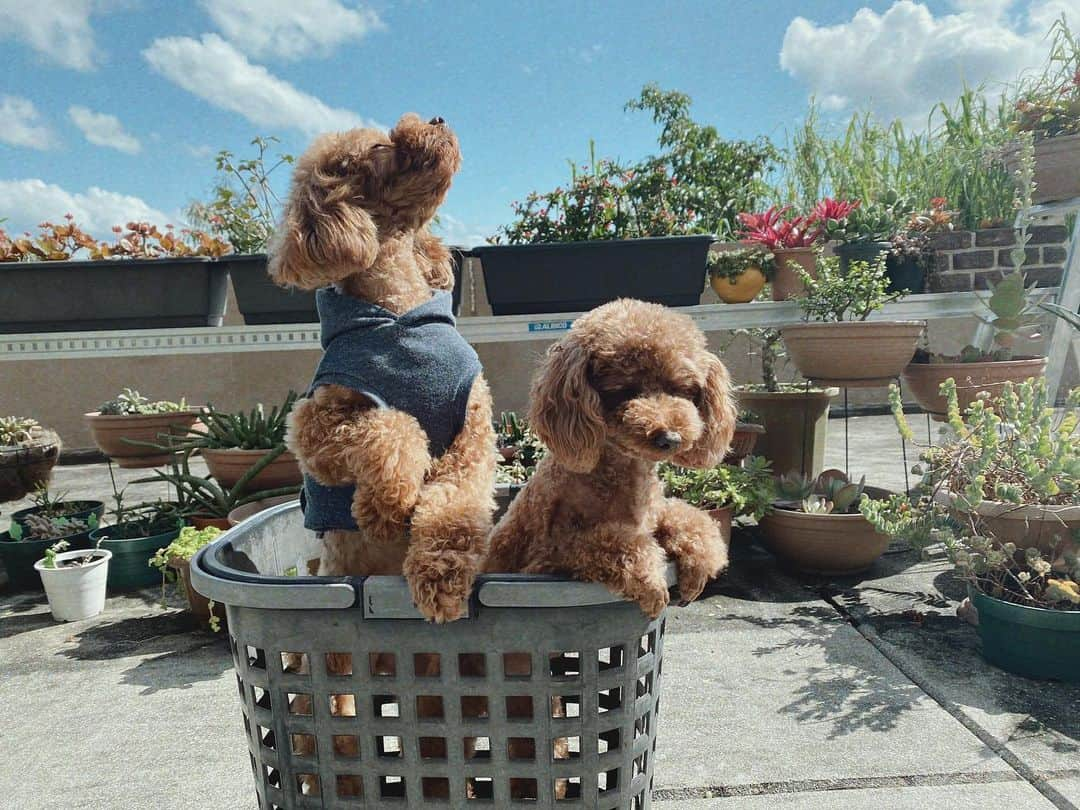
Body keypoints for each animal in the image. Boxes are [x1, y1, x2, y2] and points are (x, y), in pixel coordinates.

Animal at [488, 298, 734, 613]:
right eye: (624, 390)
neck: (619, 474)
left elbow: (688, 517)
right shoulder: (547, 554)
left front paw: (699, 565)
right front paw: (652, 582)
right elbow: (613, 543)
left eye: (683, 390)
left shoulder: (656, 512)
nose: (670, 438)